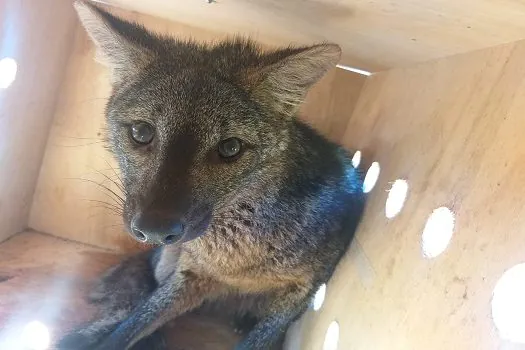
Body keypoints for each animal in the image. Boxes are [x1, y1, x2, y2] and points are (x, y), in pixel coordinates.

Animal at [56, 1, 364, 348]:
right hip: (166, 261)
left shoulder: (302, 292)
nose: (154, 230)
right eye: (141, 132)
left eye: (230, 148)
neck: (237, 266)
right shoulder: (189, 275)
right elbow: (132, 324)